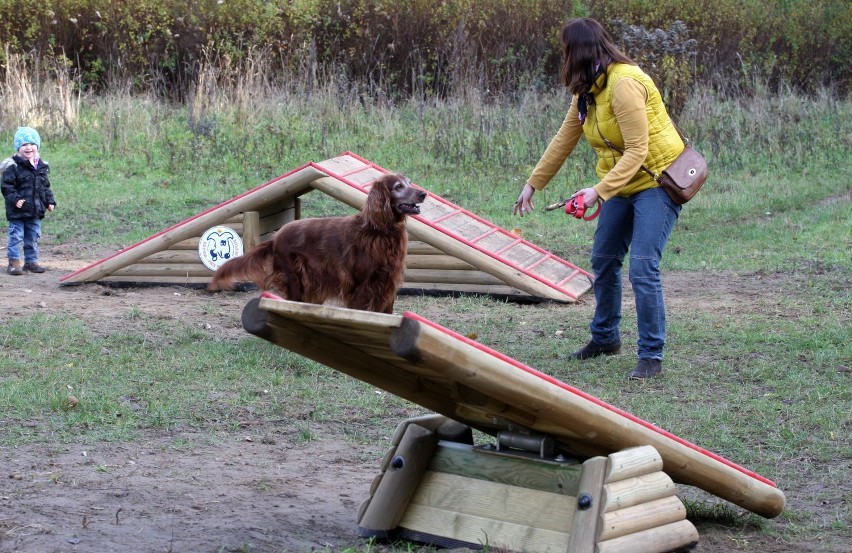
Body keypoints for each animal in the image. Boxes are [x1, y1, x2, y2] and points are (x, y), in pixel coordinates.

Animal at [209, 175, 426, 312]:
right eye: (398, 187)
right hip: (295, 279)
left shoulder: (388, 284)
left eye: (409, 182)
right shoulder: (361, 286)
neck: (379, 231)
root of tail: (276, 237)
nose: (423, 194)